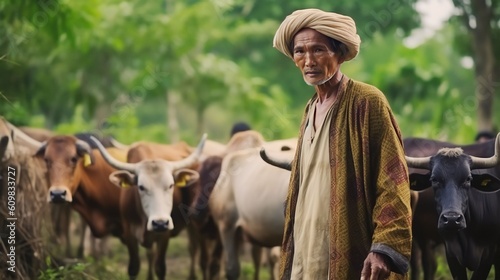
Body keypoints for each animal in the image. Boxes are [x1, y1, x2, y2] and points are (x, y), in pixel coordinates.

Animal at [90, 135, 205, 278]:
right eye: (141, 187)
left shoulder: (164, 236)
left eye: (171, 185)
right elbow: (134, 268)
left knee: (193, 248)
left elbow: (160, 268)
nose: (160, 223)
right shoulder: (129, 234)